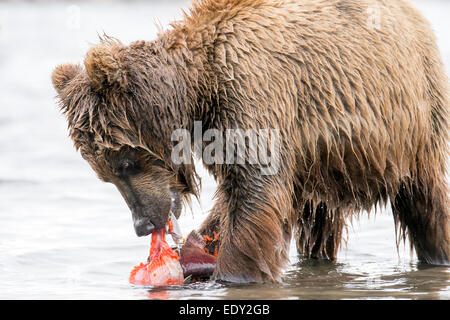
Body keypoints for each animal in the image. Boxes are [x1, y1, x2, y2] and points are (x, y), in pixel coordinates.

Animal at [51, 0, 446, 282]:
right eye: (105, 175)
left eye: (126, 163)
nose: (143, 225)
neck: (199, 91)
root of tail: (415, 15)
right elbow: (232, 195)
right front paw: (198, 247)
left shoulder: (254, 95)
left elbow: (255, 191)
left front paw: (232, 273)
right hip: (323, 161)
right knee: (318, 221)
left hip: (412, 118)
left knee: (425, 201)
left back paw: (437, 252)